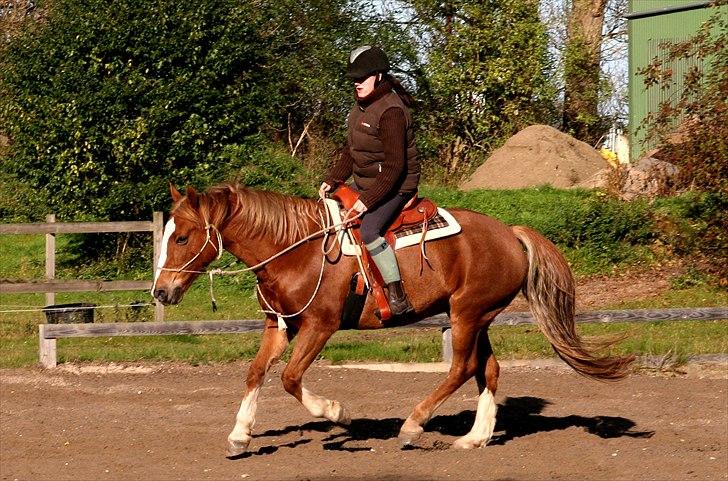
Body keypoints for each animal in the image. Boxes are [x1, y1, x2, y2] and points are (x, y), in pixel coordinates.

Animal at [154, 182, 636, 456]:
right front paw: (240, 435)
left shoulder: (320, 327)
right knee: (489, 369)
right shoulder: (279, 326)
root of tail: (511, 233)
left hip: (466, 314)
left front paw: (337, 413)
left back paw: (413, 425)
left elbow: (290, 378)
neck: (296, 249)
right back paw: (475, 437)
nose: (161, 291)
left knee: (462, 367)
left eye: (182, 237)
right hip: (479, 316)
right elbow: (256, 373)